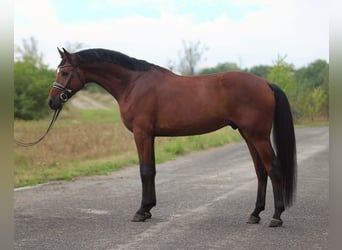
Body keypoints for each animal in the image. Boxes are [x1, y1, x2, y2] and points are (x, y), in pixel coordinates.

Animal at [48, 47, 296, 228]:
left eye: (65, 72)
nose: (52, 102)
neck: (133, 84)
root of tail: (265, 83)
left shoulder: (142, 133)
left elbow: (145, 170)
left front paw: (141, 211)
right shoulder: (150, 135)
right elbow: (152, 170)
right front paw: (148, 209)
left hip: (258, 136)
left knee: (273, 168)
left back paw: (276, 216)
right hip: (248, 134)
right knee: (261, 171)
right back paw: (255, 214)